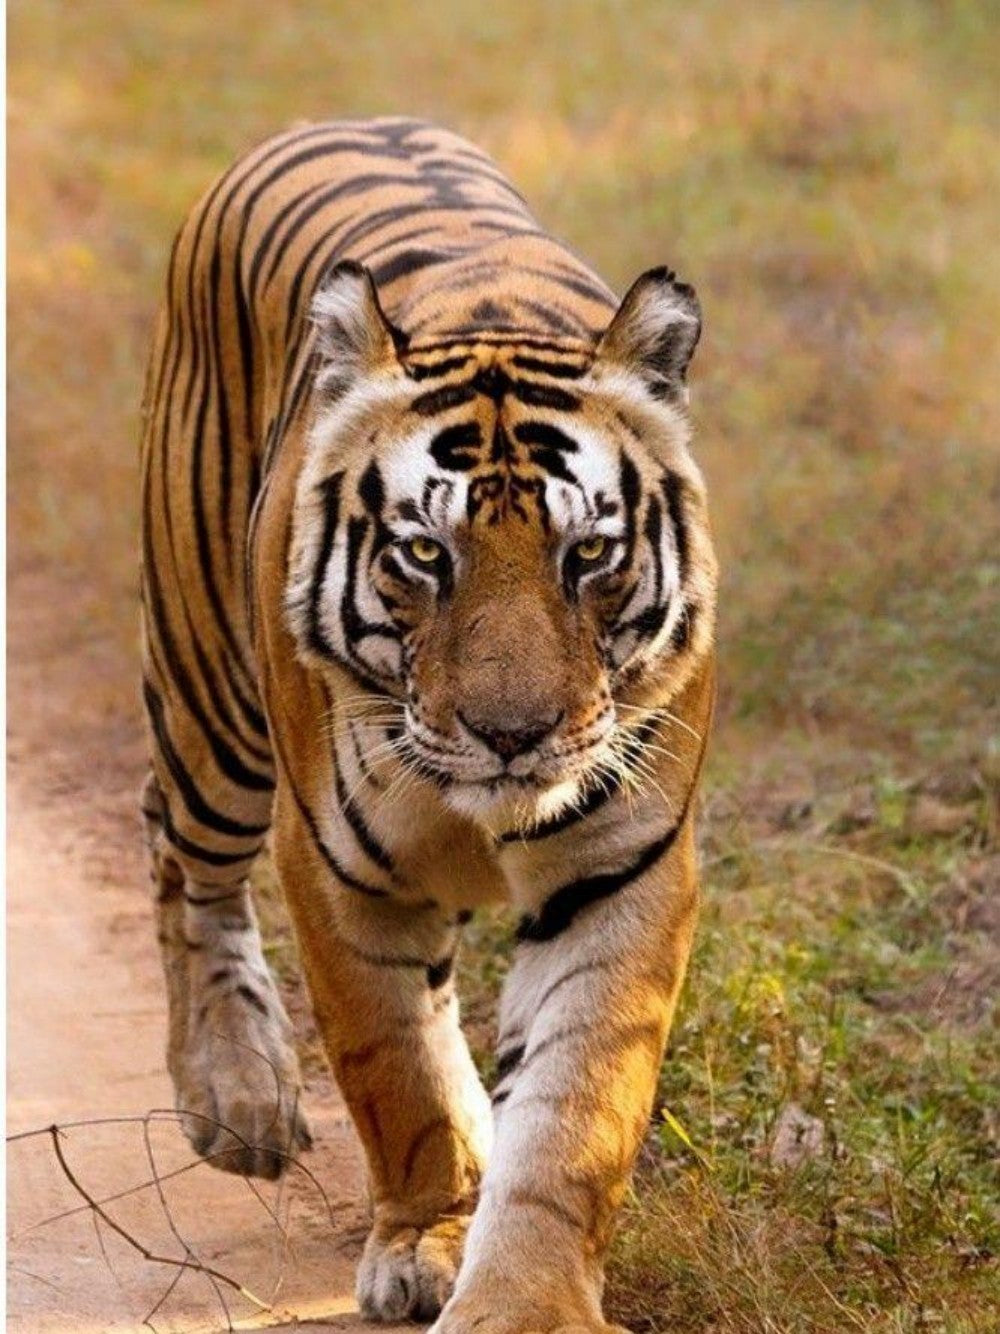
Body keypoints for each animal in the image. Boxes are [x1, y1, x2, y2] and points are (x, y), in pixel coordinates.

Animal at [139, 116, 717, 1333]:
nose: (513, 733)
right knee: (182, 859)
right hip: (210, 702)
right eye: (423, 552)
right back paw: (238, 1097)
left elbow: (575, 1111)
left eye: (587, 553)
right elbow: (394, 1069)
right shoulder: (335, 868)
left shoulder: (624, 872)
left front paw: (525, 1297)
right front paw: (429, 1233)